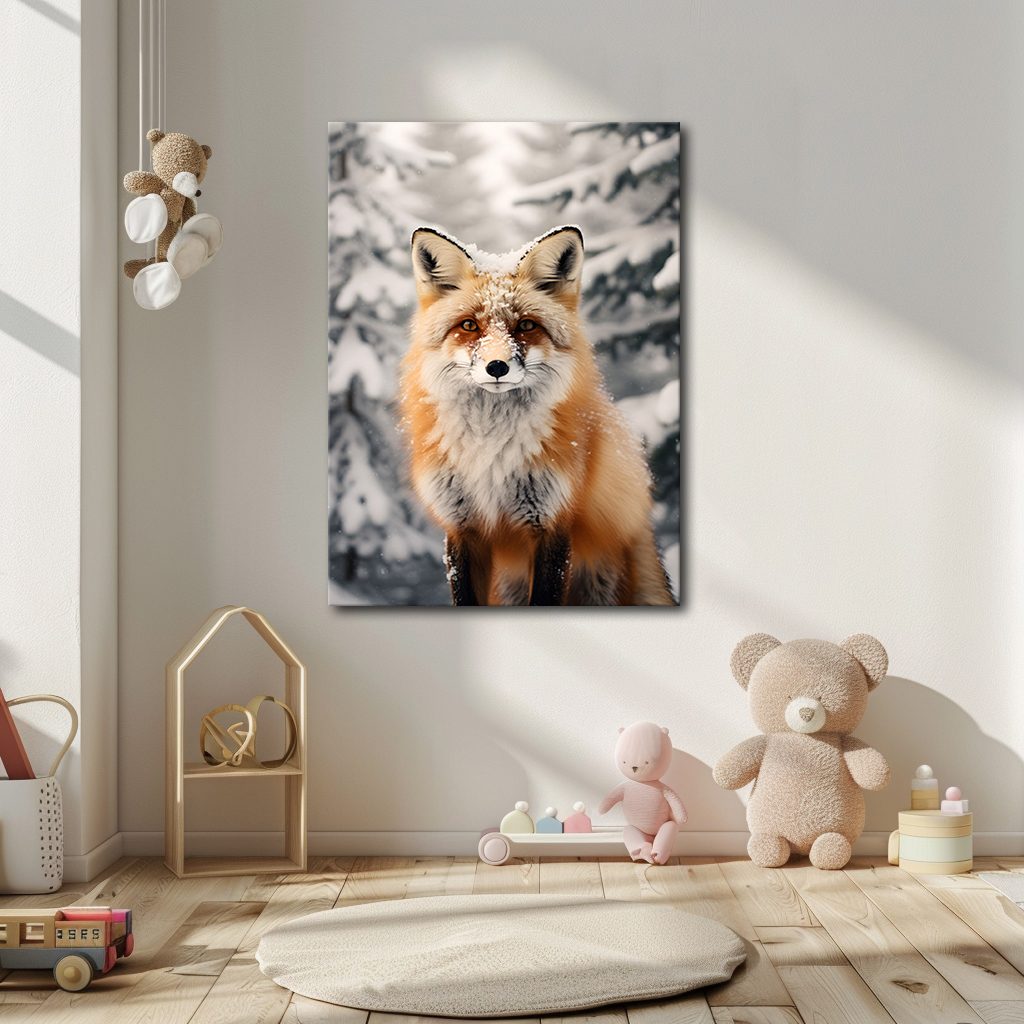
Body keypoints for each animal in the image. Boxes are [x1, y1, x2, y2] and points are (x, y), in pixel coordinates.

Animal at [399, 225, 675, 606]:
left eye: (526, 325)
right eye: (469, 326)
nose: (496, 367)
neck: (491, 449)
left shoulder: (552, 522)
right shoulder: (461, 526)